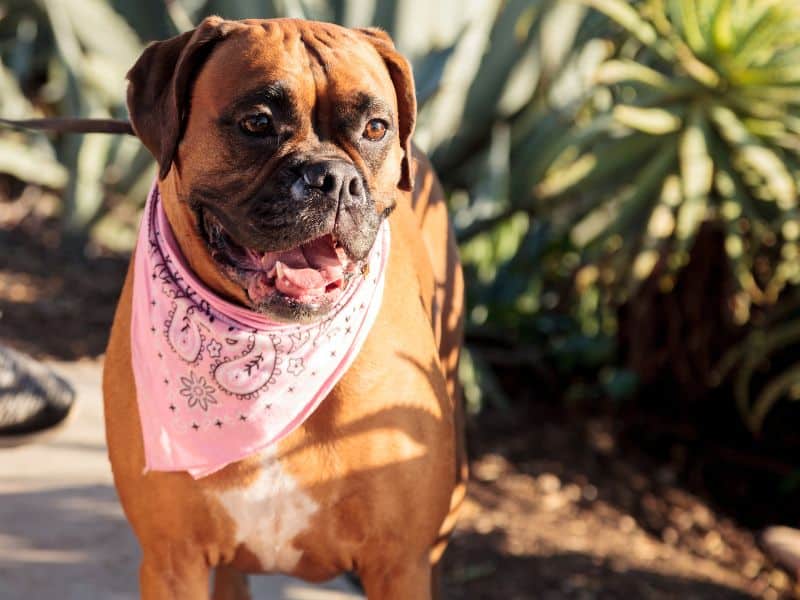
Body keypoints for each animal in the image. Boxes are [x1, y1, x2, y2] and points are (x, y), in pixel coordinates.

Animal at [103, 16, 466, 596]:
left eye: (376, 129)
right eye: (257, 122)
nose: (334, 179)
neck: (270, 343)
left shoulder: (400, 564)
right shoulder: (173, 561)